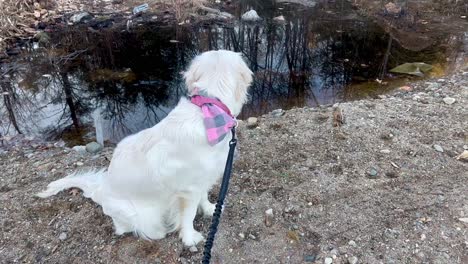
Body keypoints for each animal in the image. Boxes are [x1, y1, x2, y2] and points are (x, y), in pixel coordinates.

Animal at [38, 50, 254, 246]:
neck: (210, 108)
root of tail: (100, 190)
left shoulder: (203, 178)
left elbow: (204, 196)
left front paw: (210, 209)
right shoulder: (188, 189)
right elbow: (189, 214)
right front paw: (189, 237)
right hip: (138, 214)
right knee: (128, 228)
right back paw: (158, 232)